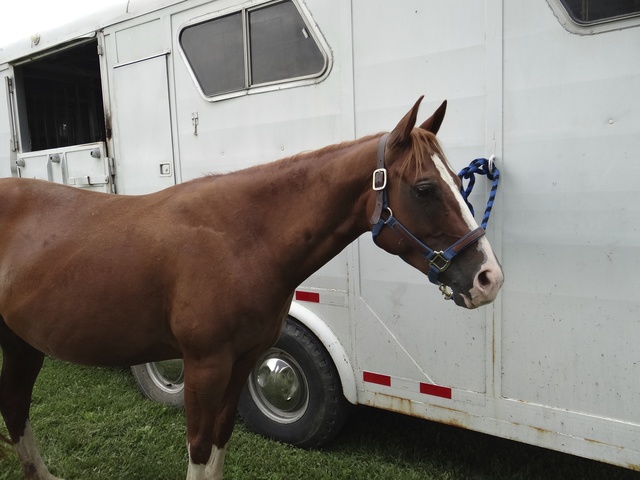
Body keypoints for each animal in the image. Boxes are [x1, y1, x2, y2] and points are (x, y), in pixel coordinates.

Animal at [0, 97, 503, 480]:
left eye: (460, 180)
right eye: (424, 189)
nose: (489, 278)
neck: (240, 238)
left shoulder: (243, 360)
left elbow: (220, 442)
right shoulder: (204, 366)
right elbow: (200, 448)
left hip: (22, 341)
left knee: (16, 407)